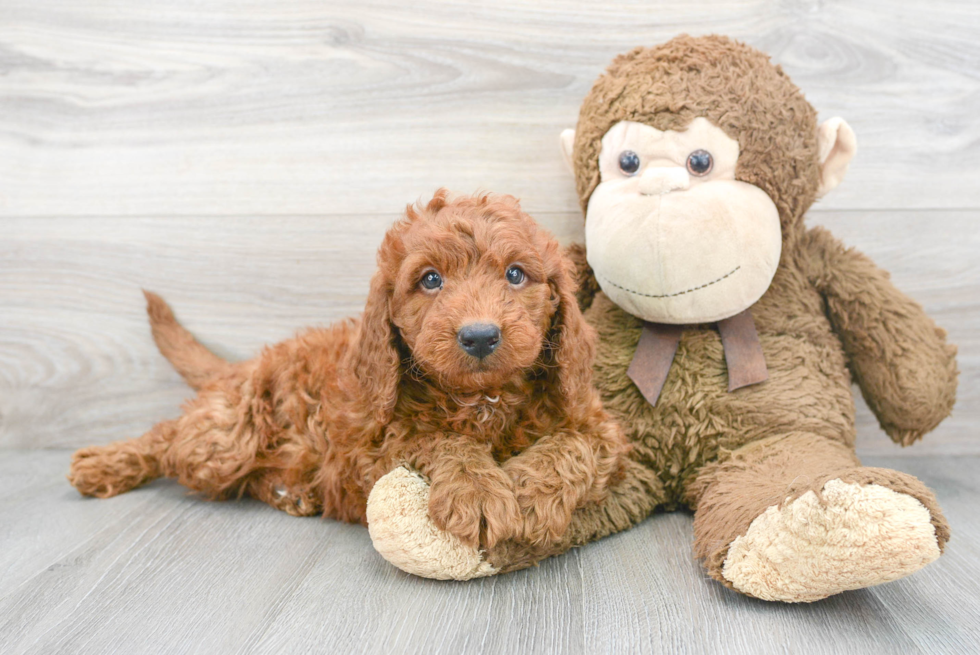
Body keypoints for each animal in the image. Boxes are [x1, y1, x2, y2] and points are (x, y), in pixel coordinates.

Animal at [72, 192, 632, 552]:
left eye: (516, 274)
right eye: (430, 280)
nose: (479, 336)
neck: (483, 398)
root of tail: (245, 364)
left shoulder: (597, 424)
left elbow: (575, 446)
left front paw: (530, 496)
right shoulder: (373, 441)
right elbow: (438, 438)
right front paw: (477, 488)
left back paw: (289, 491)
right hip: (226, 436)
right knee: (173, 439)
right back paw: (103, 463)